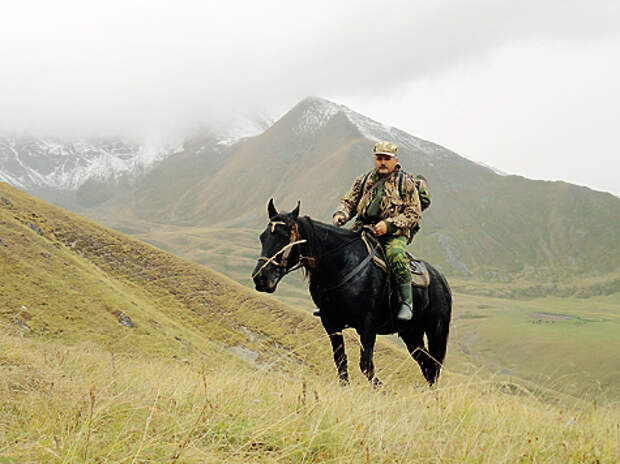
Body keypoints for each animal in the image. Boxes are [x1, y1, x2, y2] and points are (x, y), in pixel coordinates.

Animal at [252, 201, 450, 386]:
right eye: (262, 237)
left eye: (285, 237)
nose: (260, 278)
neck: (341, 264)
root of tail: (441, 279)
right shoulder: (330, 324)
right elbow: (341, 361)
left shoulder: (368, 327)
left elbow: (366, 366)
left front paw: (383, 390)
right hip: (411, 334)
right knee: (427, 366)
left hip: (436, 331)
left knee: (434, 367)